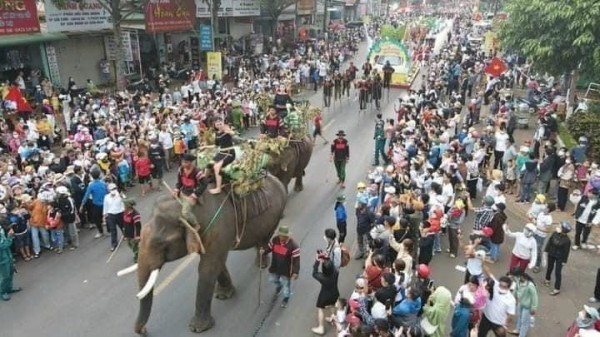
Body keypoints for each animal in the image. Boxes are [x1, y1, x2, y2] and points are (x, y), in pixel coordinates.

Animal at [118, 173, 288, 334]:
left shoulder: (219, 229)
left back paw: (262, 264)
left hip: (276, 213)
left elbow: (207, 267)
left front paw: (198, 328)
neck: (188, 206)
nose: (143, 331)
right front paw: (223, 295)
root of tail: (275, 178)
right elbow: (217, 263)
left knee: (265, 239)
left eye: (161, 244)